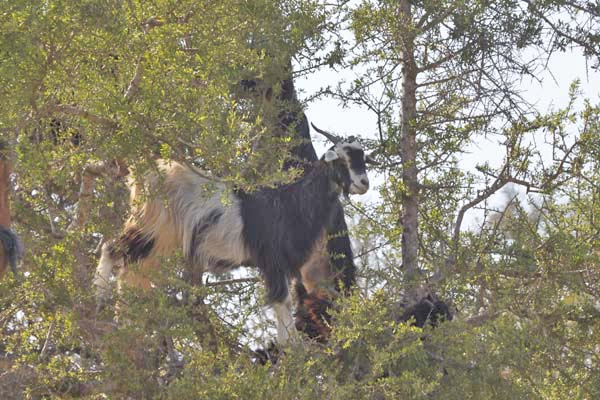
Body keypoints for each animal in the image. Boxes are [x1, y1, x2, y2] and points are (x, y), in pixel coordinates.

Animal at [92, 125, 376, 344]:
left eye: (362, 157)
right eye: (341, 159)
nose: (363, 183)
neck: (289, 204)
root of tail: (146, 171)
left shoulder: (288, 268)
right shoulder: (271, 261)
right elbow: (281, 305)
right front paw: (293, 355)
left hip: (159, 240)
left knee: (132, 269)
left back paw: (126, 320)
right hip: (148, 224)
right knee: (112, 248)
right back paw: (97, 300)